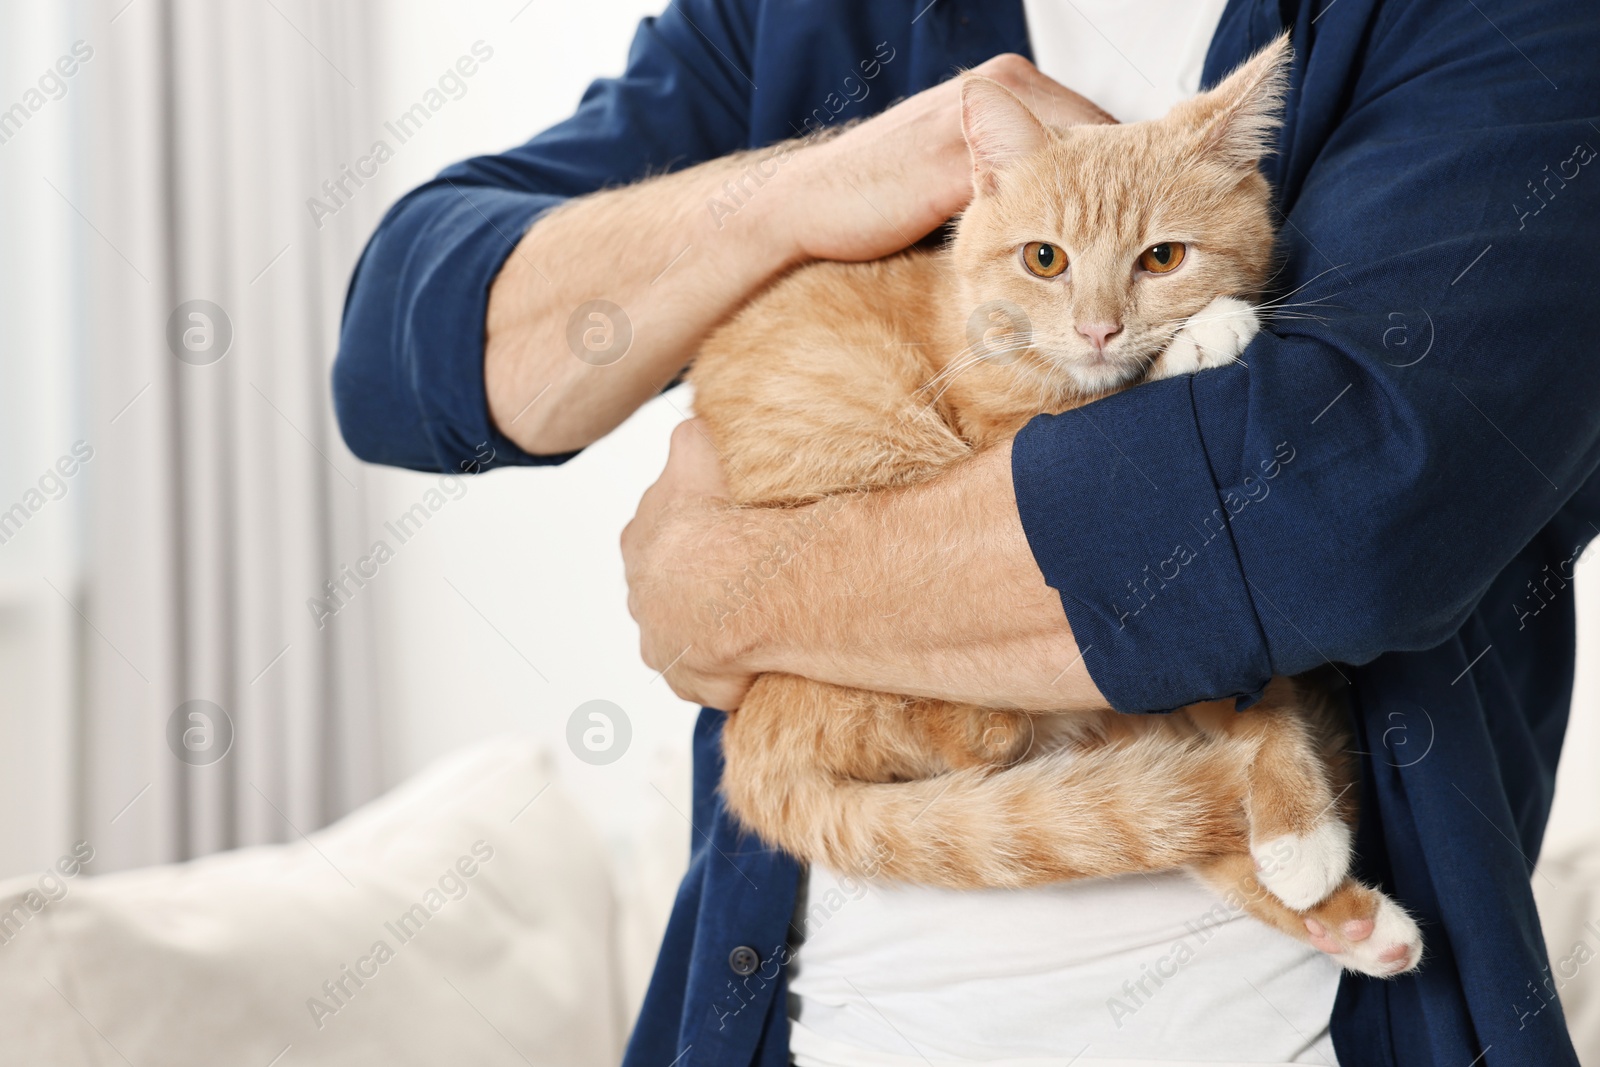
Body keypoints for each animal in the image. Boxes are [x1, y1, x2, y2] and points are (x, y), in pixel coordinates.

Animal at [694, 39, 1420, 979]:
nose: (1099, 329)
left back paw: (1350, 918)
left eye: (1162, 258)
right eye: (1046, 260)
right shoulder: (1004, 449)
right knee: (988, 737)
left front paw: (1296, 825)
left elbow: (1249, 683)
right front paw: (1198, 338)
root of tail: (750, 748)